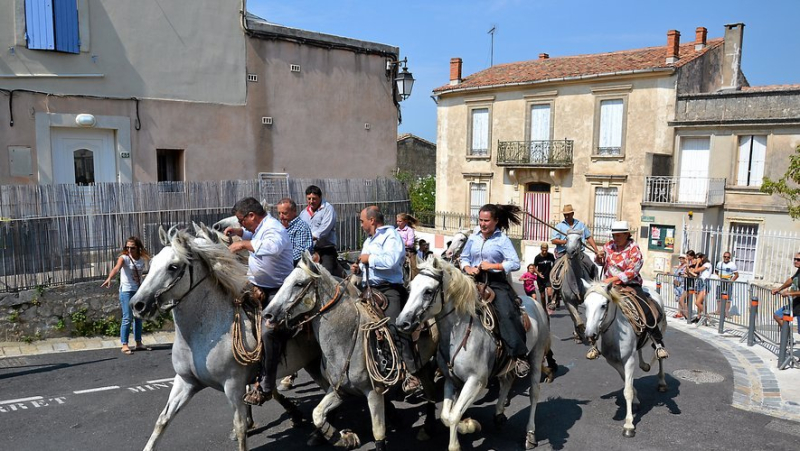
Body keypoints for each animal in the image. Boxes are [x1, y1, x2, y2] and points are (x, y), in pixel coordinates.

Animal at [131, 230, 322, 451]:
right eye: (152, 263)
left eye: (173, 267)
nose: (137, 304)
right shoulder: (185, 381)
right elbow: (162, 420)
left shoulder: (233, 385)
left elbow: (239, 427)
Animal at [396, 258, 552, 451]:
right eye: (409, 288)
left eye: (428, 291)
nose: (402, 323)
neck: (460, 334)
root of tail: (535, 304)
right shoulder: (451, 380)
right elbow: (446, 416)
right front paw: (468, 425)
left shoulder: (475, 381)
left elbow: (454, 415)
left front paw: (462, 436)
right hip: (505, 363)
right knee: (507, 382)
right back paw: (499, 415)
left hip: (536, 355)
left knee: (534, 393)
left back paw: (530, 434)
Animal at [580, 282, 668, 438]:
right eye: (585, 305)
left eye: (604, 305)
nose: (590, 334)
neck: (615, 333)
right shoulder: (614, 362)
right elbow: (627, 382)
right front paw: (636, 400)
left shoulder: (629, 361)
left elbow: (627, 391)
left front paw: (628, 425)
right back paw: (644, 365)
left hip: (660, 331)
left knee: (659, 352)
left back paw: (662, 381)